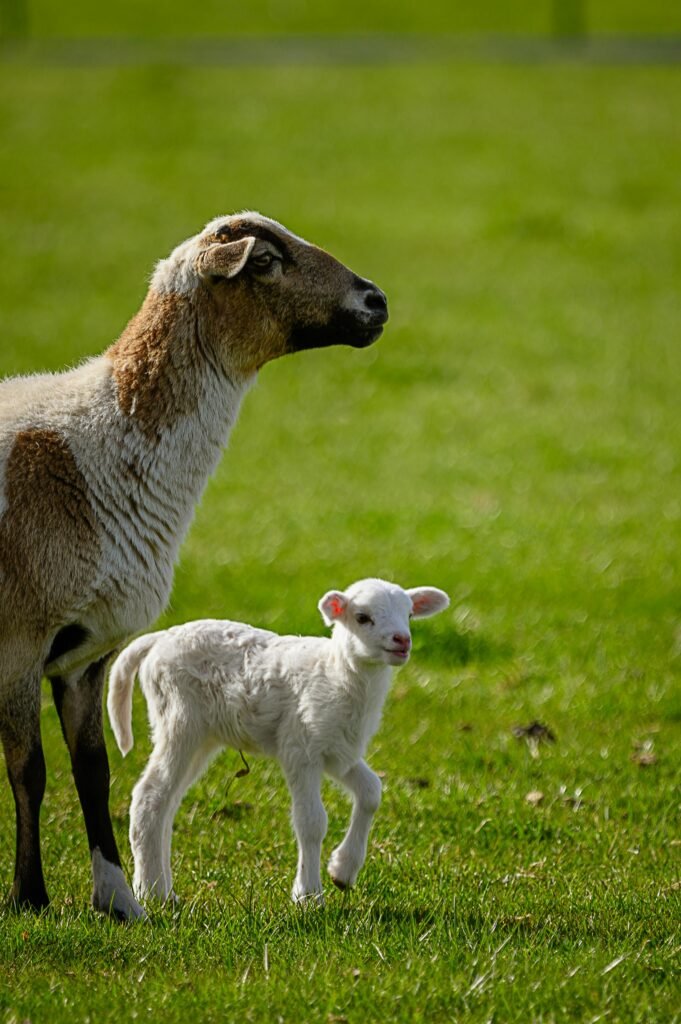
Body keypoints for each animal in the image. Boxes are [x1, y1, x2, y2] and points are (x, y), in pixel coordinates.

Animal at [0, 211, 385, 917]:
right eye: (265, 261)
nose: (376, 303)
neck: (94, 450)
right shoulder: (19, 637)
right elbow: (30, 770)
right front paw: (29, 897)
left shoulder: (83, 653)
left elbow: (92, 771)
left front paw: (116, 899)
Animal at [106, 577, 448, 905]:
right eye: (362, 617)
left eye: (409, 614)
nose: (402, 640)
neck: (338, 674)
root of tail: (159, 638)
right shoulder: (301, 745)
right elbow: (311, 822)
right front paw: (308, 896)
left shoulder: (338, 750)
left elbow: (371, 792)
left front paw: (342, 871)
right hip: (179, 719)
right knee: (149, 795)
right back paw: (151, 892)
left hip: (202, 736)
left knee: (168, 803)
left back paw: (165, 891)